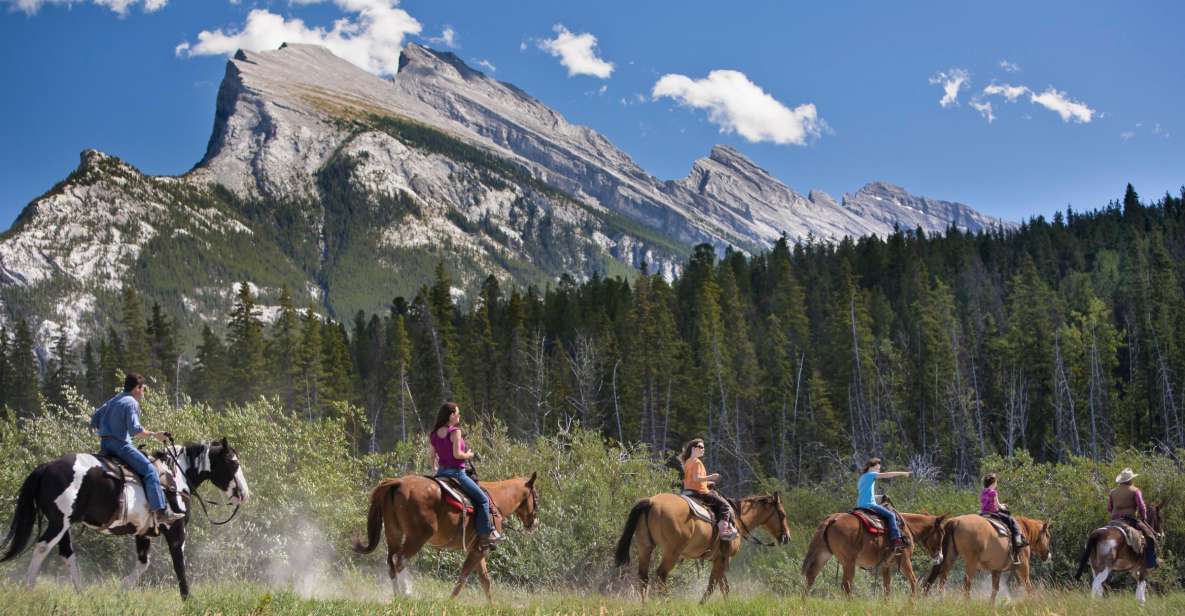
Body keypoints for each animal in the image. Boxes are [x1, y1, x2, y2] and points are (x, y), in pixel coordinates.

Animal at [0, 438, 247, 597]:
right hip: (58, 522)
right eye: (233, 463)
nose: (244, 493)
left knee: (67, 554)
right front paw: (187, 599)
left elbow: (143, 564)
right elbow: (179, 566)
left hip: (64, 526)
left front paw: (121, 591)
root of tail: (46, 467)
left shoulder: (142, 533)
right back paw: (29, 588)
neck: (176, 476)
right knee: (42, 547)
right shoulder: (176, 531)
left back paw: (81, 593)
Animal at [348, 471, 540, 601]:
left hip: (394, 533)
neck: (496, 501)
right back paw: (406, 593)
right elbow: (463, 578)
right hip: (417, 537)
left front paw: (491, 606)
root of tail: (397, 483)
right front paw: (450, 602)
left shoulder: (478, 548)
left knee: (391, 562)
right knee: (400, 560)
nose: (534, 523)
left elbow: (485, 580)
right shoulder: (481, 550)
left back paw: (398, 595)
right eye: (536, 497)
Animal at [616, 492, 791, 604]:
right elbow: (713, 585)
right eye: (782, 514)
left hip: (645, 547)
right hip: (672, 553)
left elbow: (724, 586)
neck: (737, 519)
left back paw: (644, 604)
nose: (787, 537)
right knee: (660, 575)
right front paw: (701, 604)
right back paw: (668, 602)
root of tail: (651, 502)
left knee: (643, 577)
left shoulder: (719, 559)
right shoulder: (723, 559)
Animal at [801, 511, 947, 599]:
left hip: (823, 555)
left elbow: (887, 586)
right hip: (848, 562)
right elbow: (913, 580)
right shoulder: (905, 560)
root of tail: (833, 519)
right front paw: (912, 602)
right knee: (846, 585)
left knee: (810, 578)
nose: (940, 557)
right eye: (941, 532)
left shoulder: (886, 565)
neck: (906, 528)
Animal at [919, 509, 1052, 601]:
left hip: (950, 557)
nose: (1048, 554)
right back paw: (967, 602)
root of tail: (955, 521)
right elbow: (1028, 586)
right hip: (971, 561)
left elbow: (995, 589)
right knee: (967, 581)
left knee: (943, 577)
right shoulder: (1023, 567)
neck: (1023, 531)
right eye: (1048, 535)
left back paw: (941, 599)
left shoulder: (996, 570)